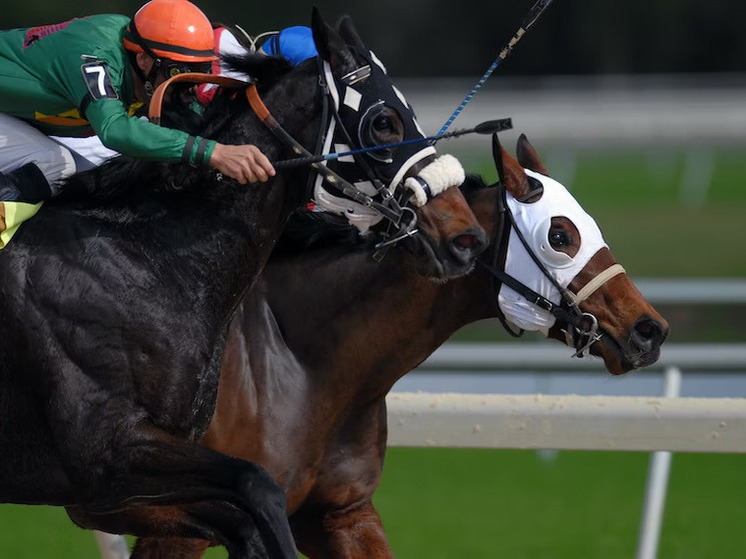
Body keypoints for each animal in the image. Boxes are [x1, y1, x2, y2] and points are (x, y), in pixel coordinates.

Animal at [0, 9, 486, 559]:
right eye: (383, 121)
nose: (464, 237)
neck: (144, 259)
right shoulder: (106, 455)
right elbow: (259, 487)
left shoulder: (127, 484)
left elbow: (246, 518)